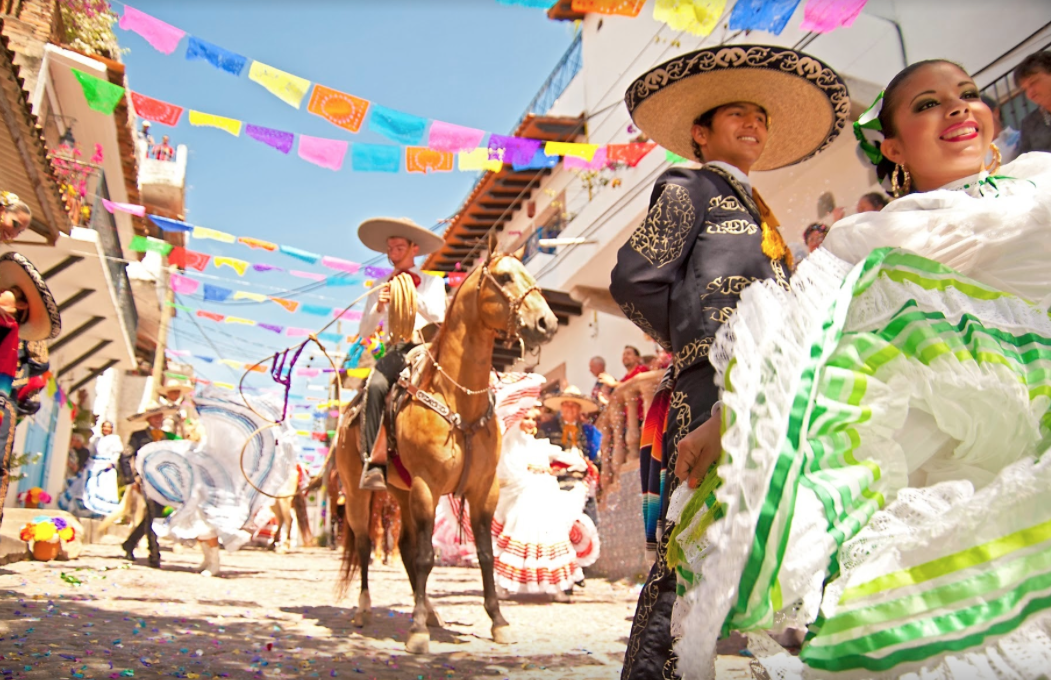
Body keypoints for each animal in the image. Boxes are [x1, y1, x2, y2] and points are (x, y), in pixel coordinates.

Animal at [336, 245, 559, 655]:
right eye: (504, 276)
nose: (545, 323)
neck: (458, 398)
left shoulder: (483, 490)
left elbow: (485, 555)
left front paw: (498, 621)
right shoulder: (427, 486)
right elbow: (427, 557)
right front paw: (417, 632)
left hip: (402, 493)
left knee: (405, 545)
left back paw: (430, 611)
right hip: (360, 493)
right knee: (364, 544)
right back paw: (364, 610)